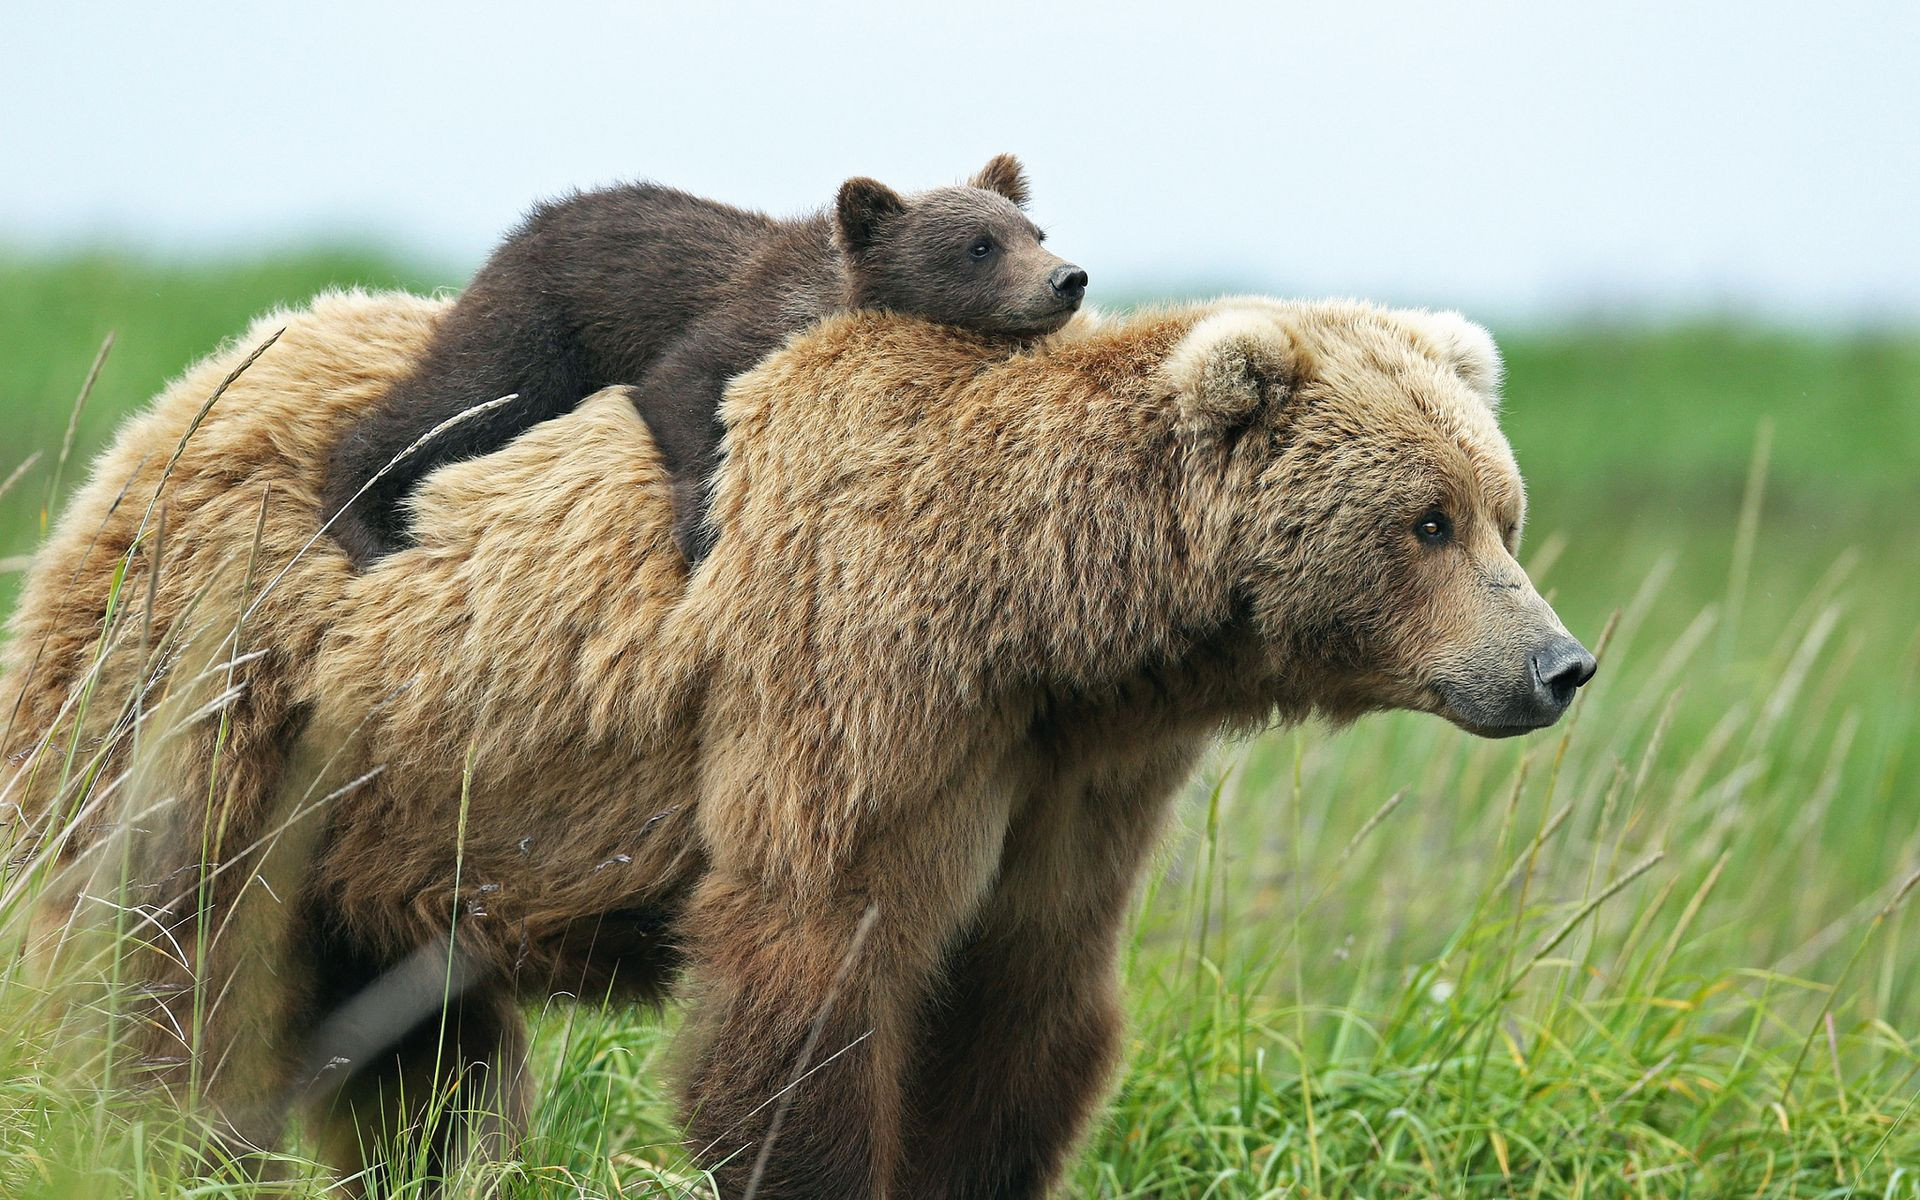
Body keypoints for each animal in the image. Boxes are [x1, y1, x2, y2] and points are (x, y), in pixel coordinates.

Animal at [0, 286, 1589, 1190]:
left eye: (1501, 510)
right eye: (1427, 521)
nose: (1558, 664)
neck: (1050, 619)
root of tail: (173, 401)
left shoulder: (1068, 777)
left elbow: (1024, 1005)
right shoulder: (858, 685)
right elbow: (812, 978)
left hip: (395, 810)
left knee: (416, 1050)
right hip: (221, 689)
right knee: (161, 953)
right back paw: (151, 1142)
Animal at [322, 153, 1090, 564]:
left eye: (1034, 230)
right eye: (979, 246)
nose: (1068, 278)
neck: (828, 293)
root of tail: (525, 226)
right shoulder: (741, 321)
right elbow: (681, 387)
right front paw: (701, 527)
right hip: (539, 322)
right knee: (460, 399)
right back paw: (363, 521)